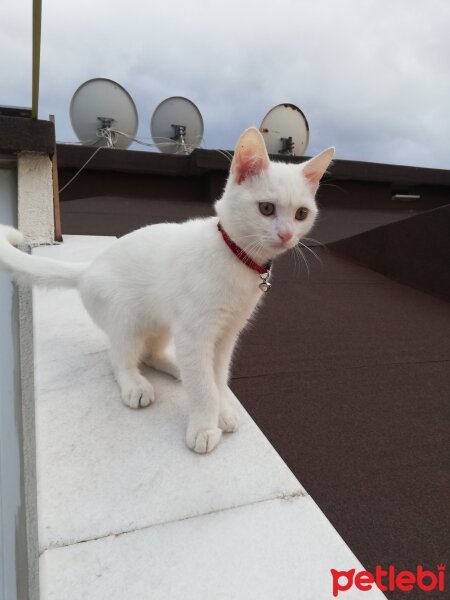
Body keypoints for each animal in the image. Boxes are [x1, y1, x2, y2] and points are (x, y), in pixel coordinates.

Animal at [0, 129, 330, 452]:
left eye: (301, 214)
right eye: (266, 208)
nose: (286, 235)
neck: (236, 257)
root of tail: (89, 267)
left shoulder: (226, 335)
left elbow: (217, 378)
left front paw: (221, 410)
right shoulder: (194, 333)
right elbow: (204, 388)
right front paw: (204, 426)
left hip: (161, 322)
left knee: (151, 354)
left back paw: (177, 368)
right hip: (127, 320)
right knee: (120, 357)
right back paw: (135, 384)